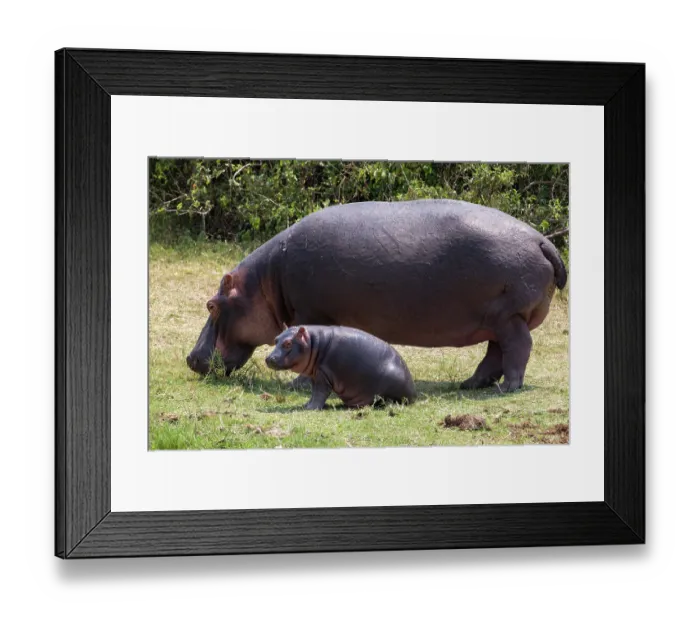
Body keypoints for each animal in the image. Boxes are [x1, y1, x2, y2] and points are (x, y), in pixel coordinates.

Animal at [188, 199, 567, 393]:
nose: (191, 358)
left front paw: (298, 382)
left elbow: (305, 348)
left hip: (508, 317)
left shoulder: (310, 313)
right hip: (495, 319)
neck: (265, 281)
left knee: (517, 348)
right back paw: (468, 384)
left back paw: (509, 387)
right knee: (494, 353)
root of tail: (541, 240)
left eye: (211, 305)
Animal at [265, 325, 417, 409]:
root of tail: (413, 394)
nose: (268, 358)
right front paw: (306, 405)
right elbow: (313, 394)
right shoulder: (315, 374)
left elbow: (319, 394)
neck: (313, 343)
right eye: (276, 339)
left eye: (288, 343)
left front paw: (311, 408)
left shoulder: (323, 375)